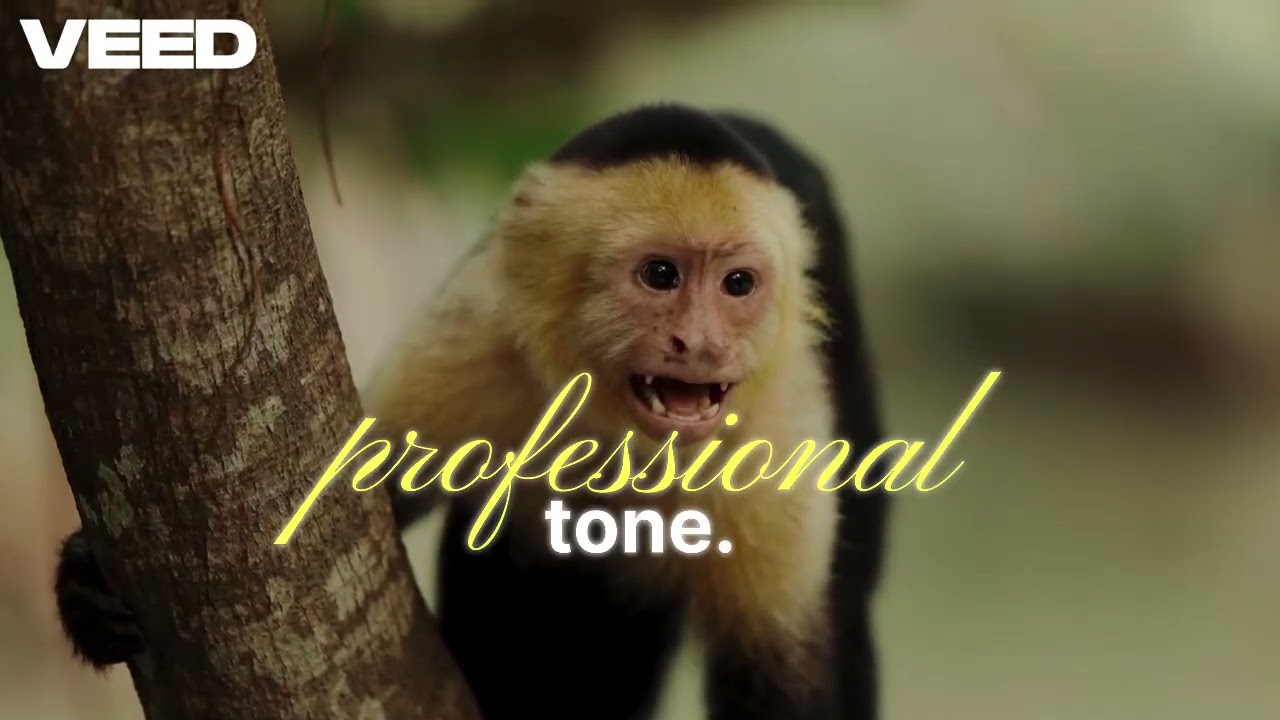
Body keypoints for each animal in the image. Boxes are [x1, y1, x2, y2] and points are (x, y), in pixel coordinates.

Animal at [52, 103, 890, 720]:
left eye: (737, 284)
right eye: (661, 275)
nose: (704, 343)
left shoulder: (776, 431)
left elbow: (790, 668)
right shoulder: (474, 345)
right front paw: (86, 587)